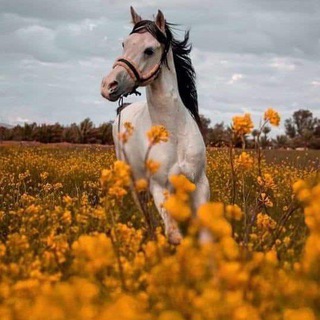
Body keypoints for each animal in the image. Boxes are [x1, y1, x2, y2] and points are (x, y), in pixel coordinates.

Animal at [100, 6, 210, 242]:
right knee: (145, 212)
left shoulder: (199, 184)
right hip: (135, 182)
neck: (174, 133)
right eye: (124, 44)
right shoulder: (159, 187)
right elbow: (175, 237)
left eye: (149, 50)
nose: (108, 85)